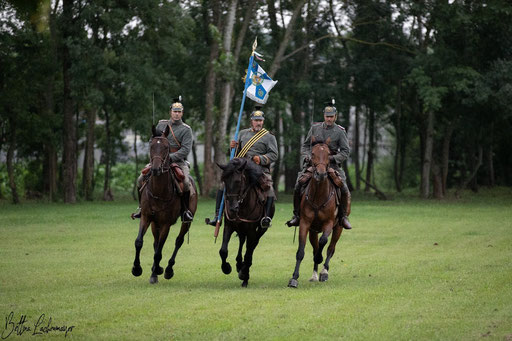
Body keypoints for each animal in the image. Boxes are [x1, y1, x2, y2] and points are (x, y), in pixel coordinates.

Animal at [131, 123, 197, 282]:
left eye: (166, 147)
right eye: (151, 146)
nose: (155, 169)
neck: (158, 192)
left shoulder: (166, 223)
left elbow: (159, 251)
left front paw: (155, 272)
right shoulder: (146, 217)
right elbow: (139, 242)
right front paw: (137, 269)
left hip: (186, 221)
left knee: (178, 241)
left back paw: (167, 269)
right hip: (155, 223)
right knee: (155, 242)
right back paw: (157, 269)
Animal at [216, 158, 274, 286]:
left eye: (238, 181)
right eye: (224, 181)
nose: (232, 208)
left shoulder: (251, 230)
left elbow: (248, 252)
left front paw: (244, 275)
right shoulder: (229, 226)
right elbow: (223, 250)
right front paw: (226, 268)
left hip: (260, 230)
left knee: (252, 245)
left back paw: (243, 269)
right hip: (241, 229)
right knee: (242, 241)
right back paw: (238, 264)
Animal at [288, 138, 344, 286]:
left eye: (329, 154)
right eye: (312, 154)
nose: (321, 174)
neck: (319, 195)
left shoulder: (329, 223)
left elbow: (324, 241)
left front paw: (320, 259)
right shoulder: (305, 223)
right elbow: (301, 251)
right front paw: (294, 278)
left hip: (339, 228)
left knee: (330, 248)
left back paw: (324, 272)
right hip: (313, 231)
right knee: (315, 247)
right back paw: (314, 275)